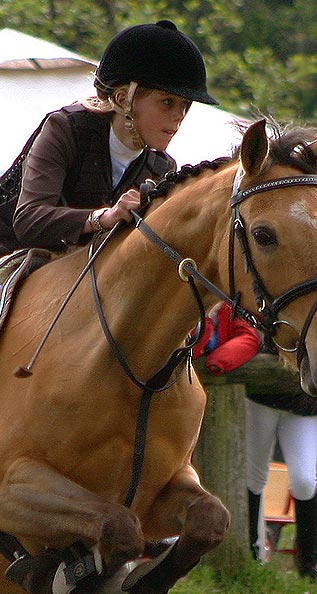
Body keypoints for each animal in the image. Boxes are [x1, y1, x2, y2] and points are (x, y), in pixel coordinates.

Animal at [0, 117, 316, 592]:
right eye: (263, 235)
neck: (136, 369)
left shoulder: (164, 488)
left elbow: (208, 519)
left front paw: (134, 578)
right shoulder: (14, 485)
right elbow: (116, 527)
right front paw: (56, 568)